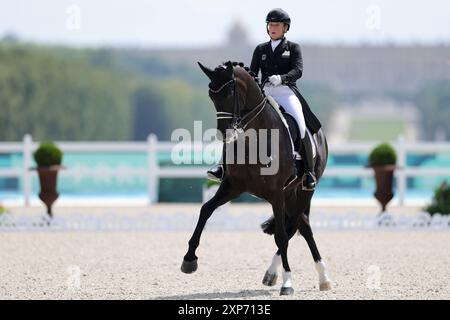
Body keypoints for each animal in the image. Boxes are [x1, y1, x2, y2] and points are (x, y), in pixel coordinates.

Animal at [181, 61, 332, 296]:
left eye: (229, 93)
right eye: (211, 95)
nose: (224, 133)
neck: (254, 140)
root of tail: (320, 135)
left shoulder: (276, 193)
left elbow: (281, 236)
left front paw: (288, 283)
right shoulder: (232, 186)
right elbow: (205, 210)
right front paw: (189, 259)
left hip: (304, 191)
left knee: (294, 227)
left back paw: (319, 276)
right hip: (291, 194)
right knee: (302, 225)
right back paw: (283, 274)